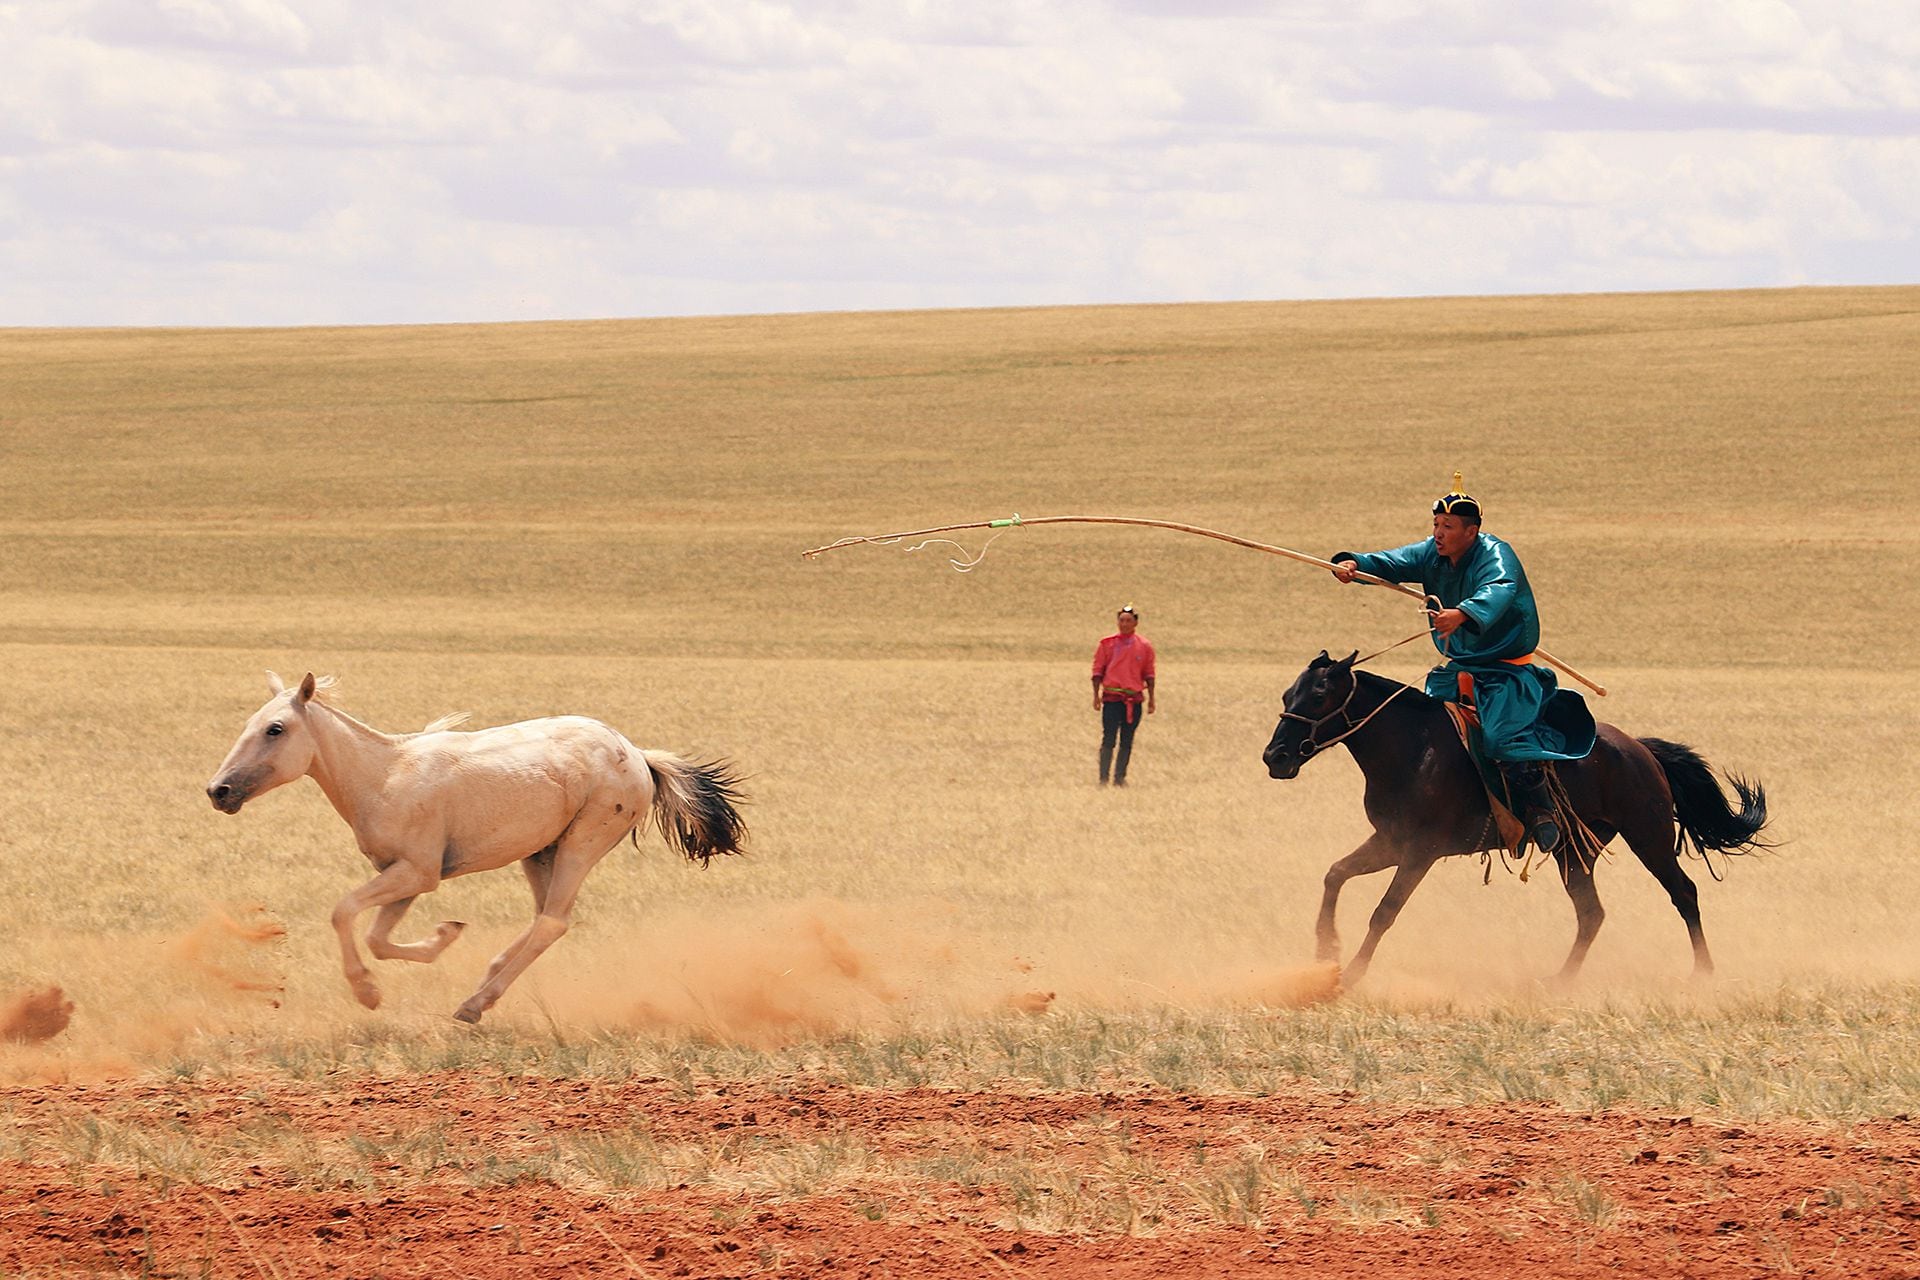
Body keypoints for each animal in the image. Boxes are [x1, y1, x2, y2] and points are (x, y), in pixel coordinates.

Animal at [206, 675, 744, 1028]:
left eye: (275, 729)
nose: (219, 791)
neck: (382, 775)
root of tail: (639, 756)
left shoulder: (416, 873)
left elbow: (344, 912)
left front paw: (367, 991)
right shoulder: (404, 877)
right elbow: (379, 938)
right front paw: (445, 935)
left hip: (581, 844)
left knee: (552, 921)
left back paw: (474, 1004)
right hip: (540, 853)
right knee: (545, 918)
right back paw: (485, 981)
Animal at [1259, 656, 1766, 990]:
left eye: (1318, 695)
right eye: (1287, 695)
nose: (1275, 757)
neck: (1412, 748)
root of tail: (1641, 749)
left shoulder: (1421, 850)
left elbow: (1384, 911)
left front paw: (1350, 975)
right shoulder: (1390, 842)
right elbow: (1335, 874)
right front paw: (1326, 950)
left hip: (1650, 836)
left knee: (1684, 893)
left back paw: (1702, 974)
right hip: (1574, 849)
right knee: (1591, 913)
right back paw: (1560, 979)